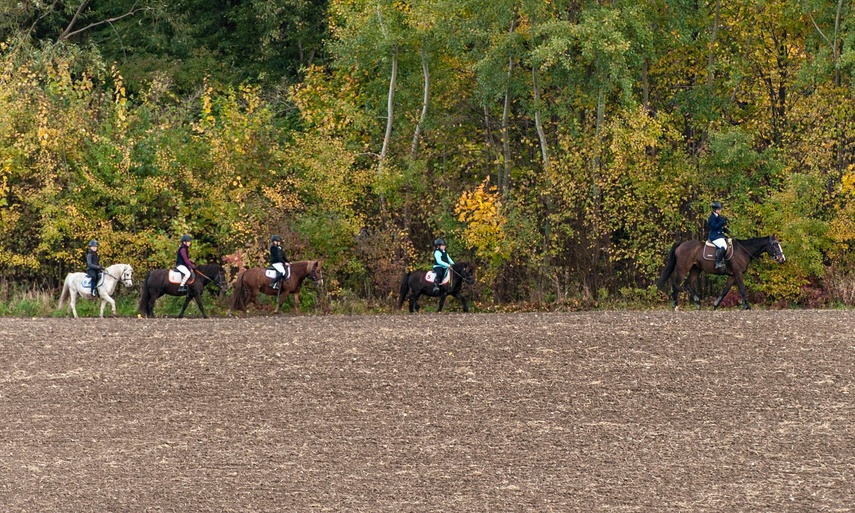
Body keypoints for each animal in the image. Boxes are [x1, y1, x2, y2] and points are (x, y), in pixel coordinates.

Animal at [656, 235, 788, 308]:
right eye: (775, 245)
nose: (782, 259)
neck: (743, 251)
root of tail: (682, 244)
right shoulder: (738, 273)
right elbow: (742, 290)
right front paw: (747, 306)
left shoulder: (732, 275)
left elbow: (725, 291)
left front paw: (715, 305)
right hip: (683, 268)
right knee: (676, 284)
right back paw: (675, 306)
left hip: (696, 269)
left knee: (687, 284)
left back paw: (698, 303)